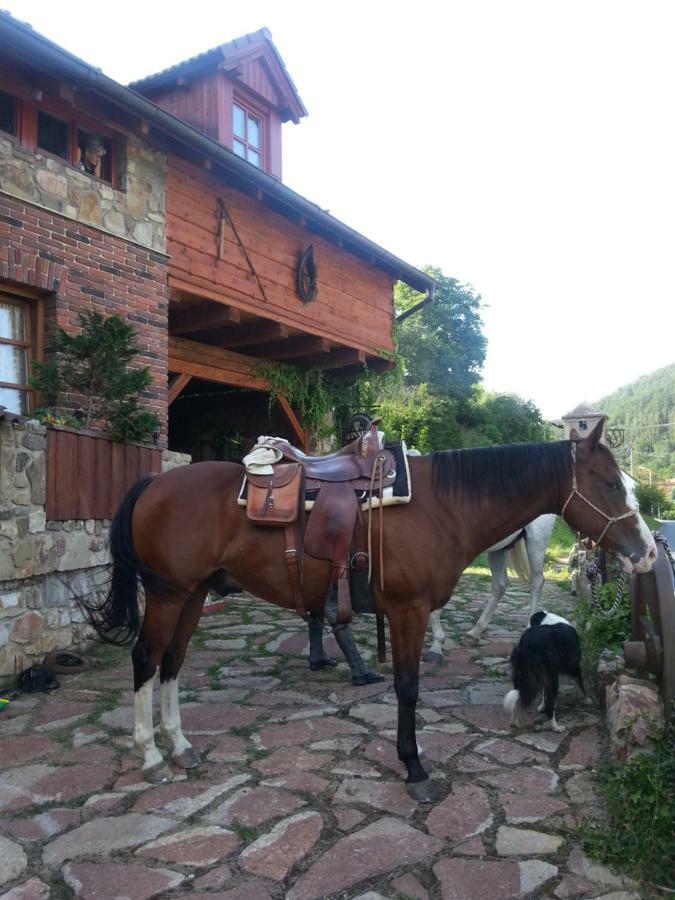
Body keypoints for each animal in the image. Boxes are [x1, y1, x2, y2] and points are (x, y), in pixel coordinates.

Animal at [422, 512, 560, 660]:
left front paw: (436, 647)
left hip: (537, 540)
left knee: (536, 581)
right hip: (500, 547)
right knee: (500, 585)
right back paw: (474, 633)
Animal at [504, 608, 584, 736]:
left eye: (531, 620)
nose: (526, 627)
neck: (547, 618)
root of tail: (528, 645)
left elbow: (543, 693)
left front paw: (541, 706)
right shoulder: (574, 666)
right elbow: (580, 683)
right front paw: (586, 700)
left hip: (520, 675)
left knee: (518, 700)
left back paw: (515, 722)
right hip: (552, 676)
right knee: (550, 706)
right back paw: (556, 727)